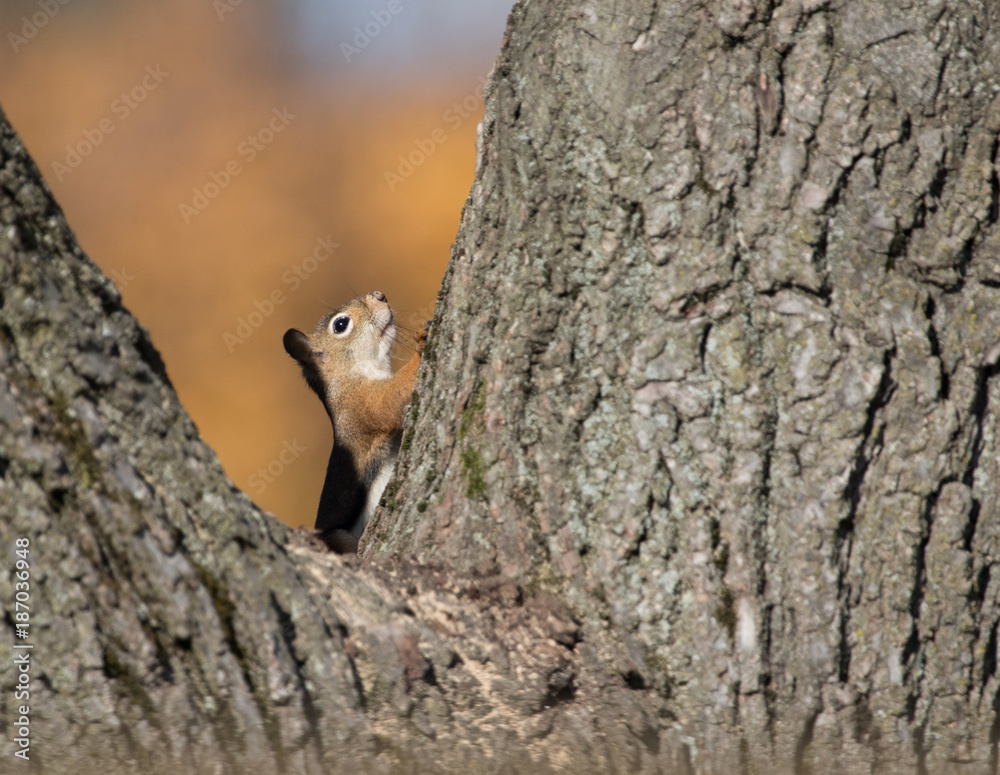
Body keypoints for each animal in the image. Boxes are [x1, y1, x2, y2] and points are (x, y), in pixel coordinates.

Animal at [283, 290, 425, 554]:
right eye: (340, 325)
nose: (379, 295)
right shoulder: (362, 406)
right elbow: (391, 398)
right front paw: (421, 343)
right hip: (338, 538)